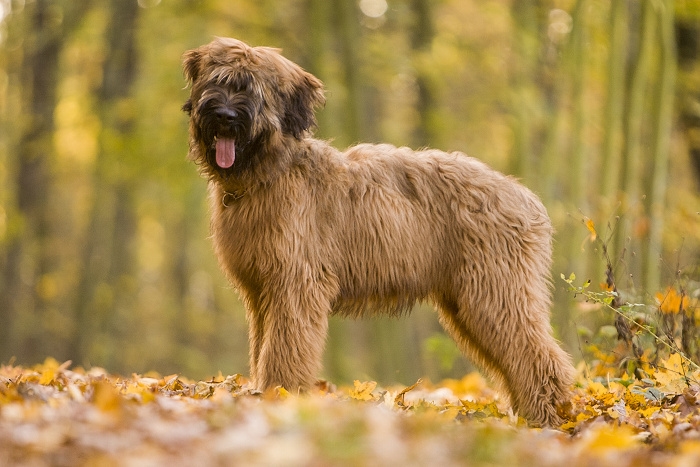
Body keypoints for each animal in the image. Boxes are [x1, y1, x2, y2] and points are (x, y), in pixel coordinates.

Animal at [182, 37, 576, 428]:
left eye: (250, 89)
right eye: (217, 82)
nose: (225, 117)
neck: (270, 173)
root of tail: (525, 197)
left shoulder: (294, 285)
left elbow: (284, 351)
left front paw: (280, 397)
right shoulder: (261, 291)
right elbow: (264, 347)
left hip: (496, 293)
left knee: (539, 356)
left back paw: (551, 419)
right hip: (470, 301)